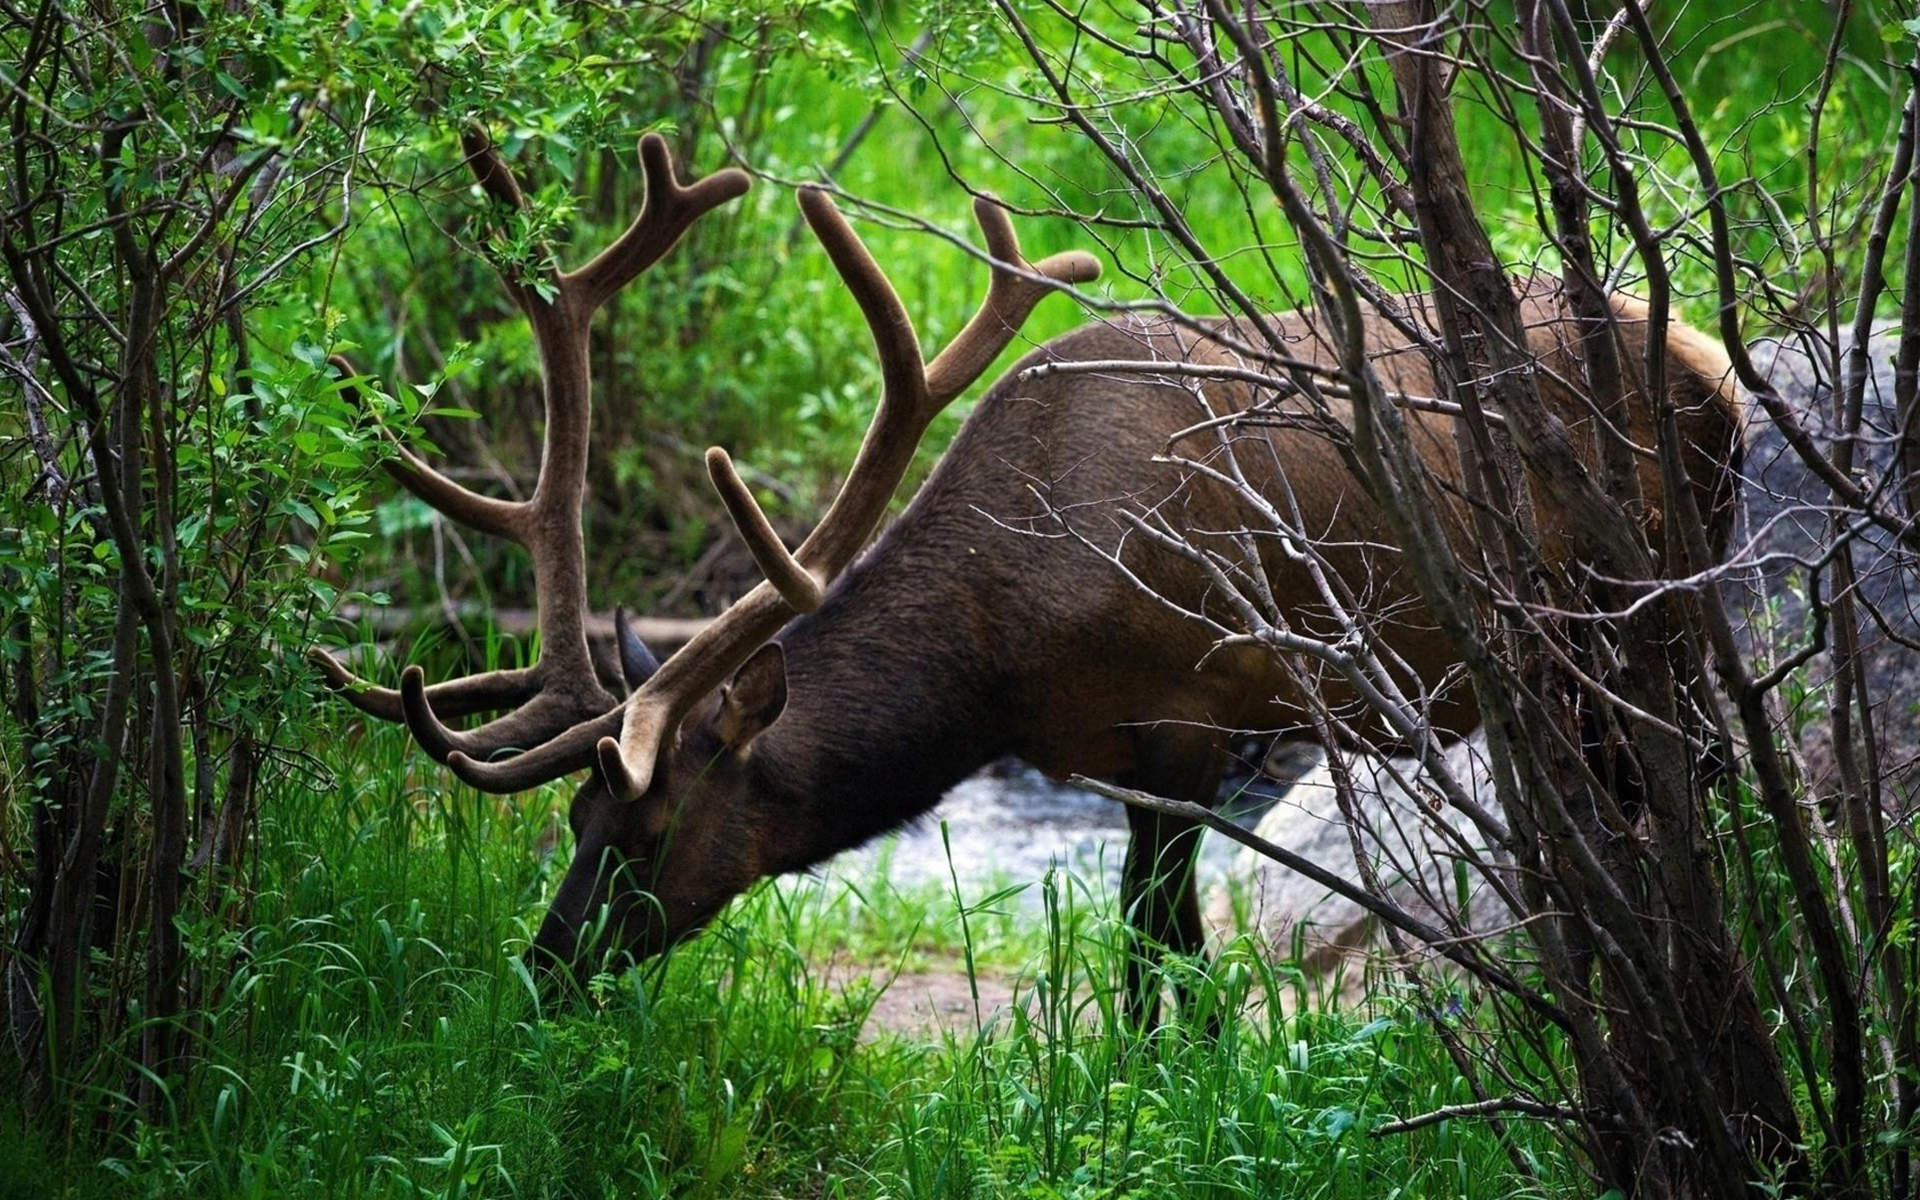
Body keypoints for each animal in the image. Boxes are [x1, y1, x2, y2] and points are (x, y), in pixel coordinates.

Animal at [316, 130, 1743, 1025]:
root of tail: (1708, 359)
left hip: (1644, 616)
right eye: (572, 822)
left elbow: (1158, 950)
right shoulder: (1107, 753)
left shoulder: (1191, 713)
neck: (1002, 661)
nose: (544, 972)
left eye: (648, 831)